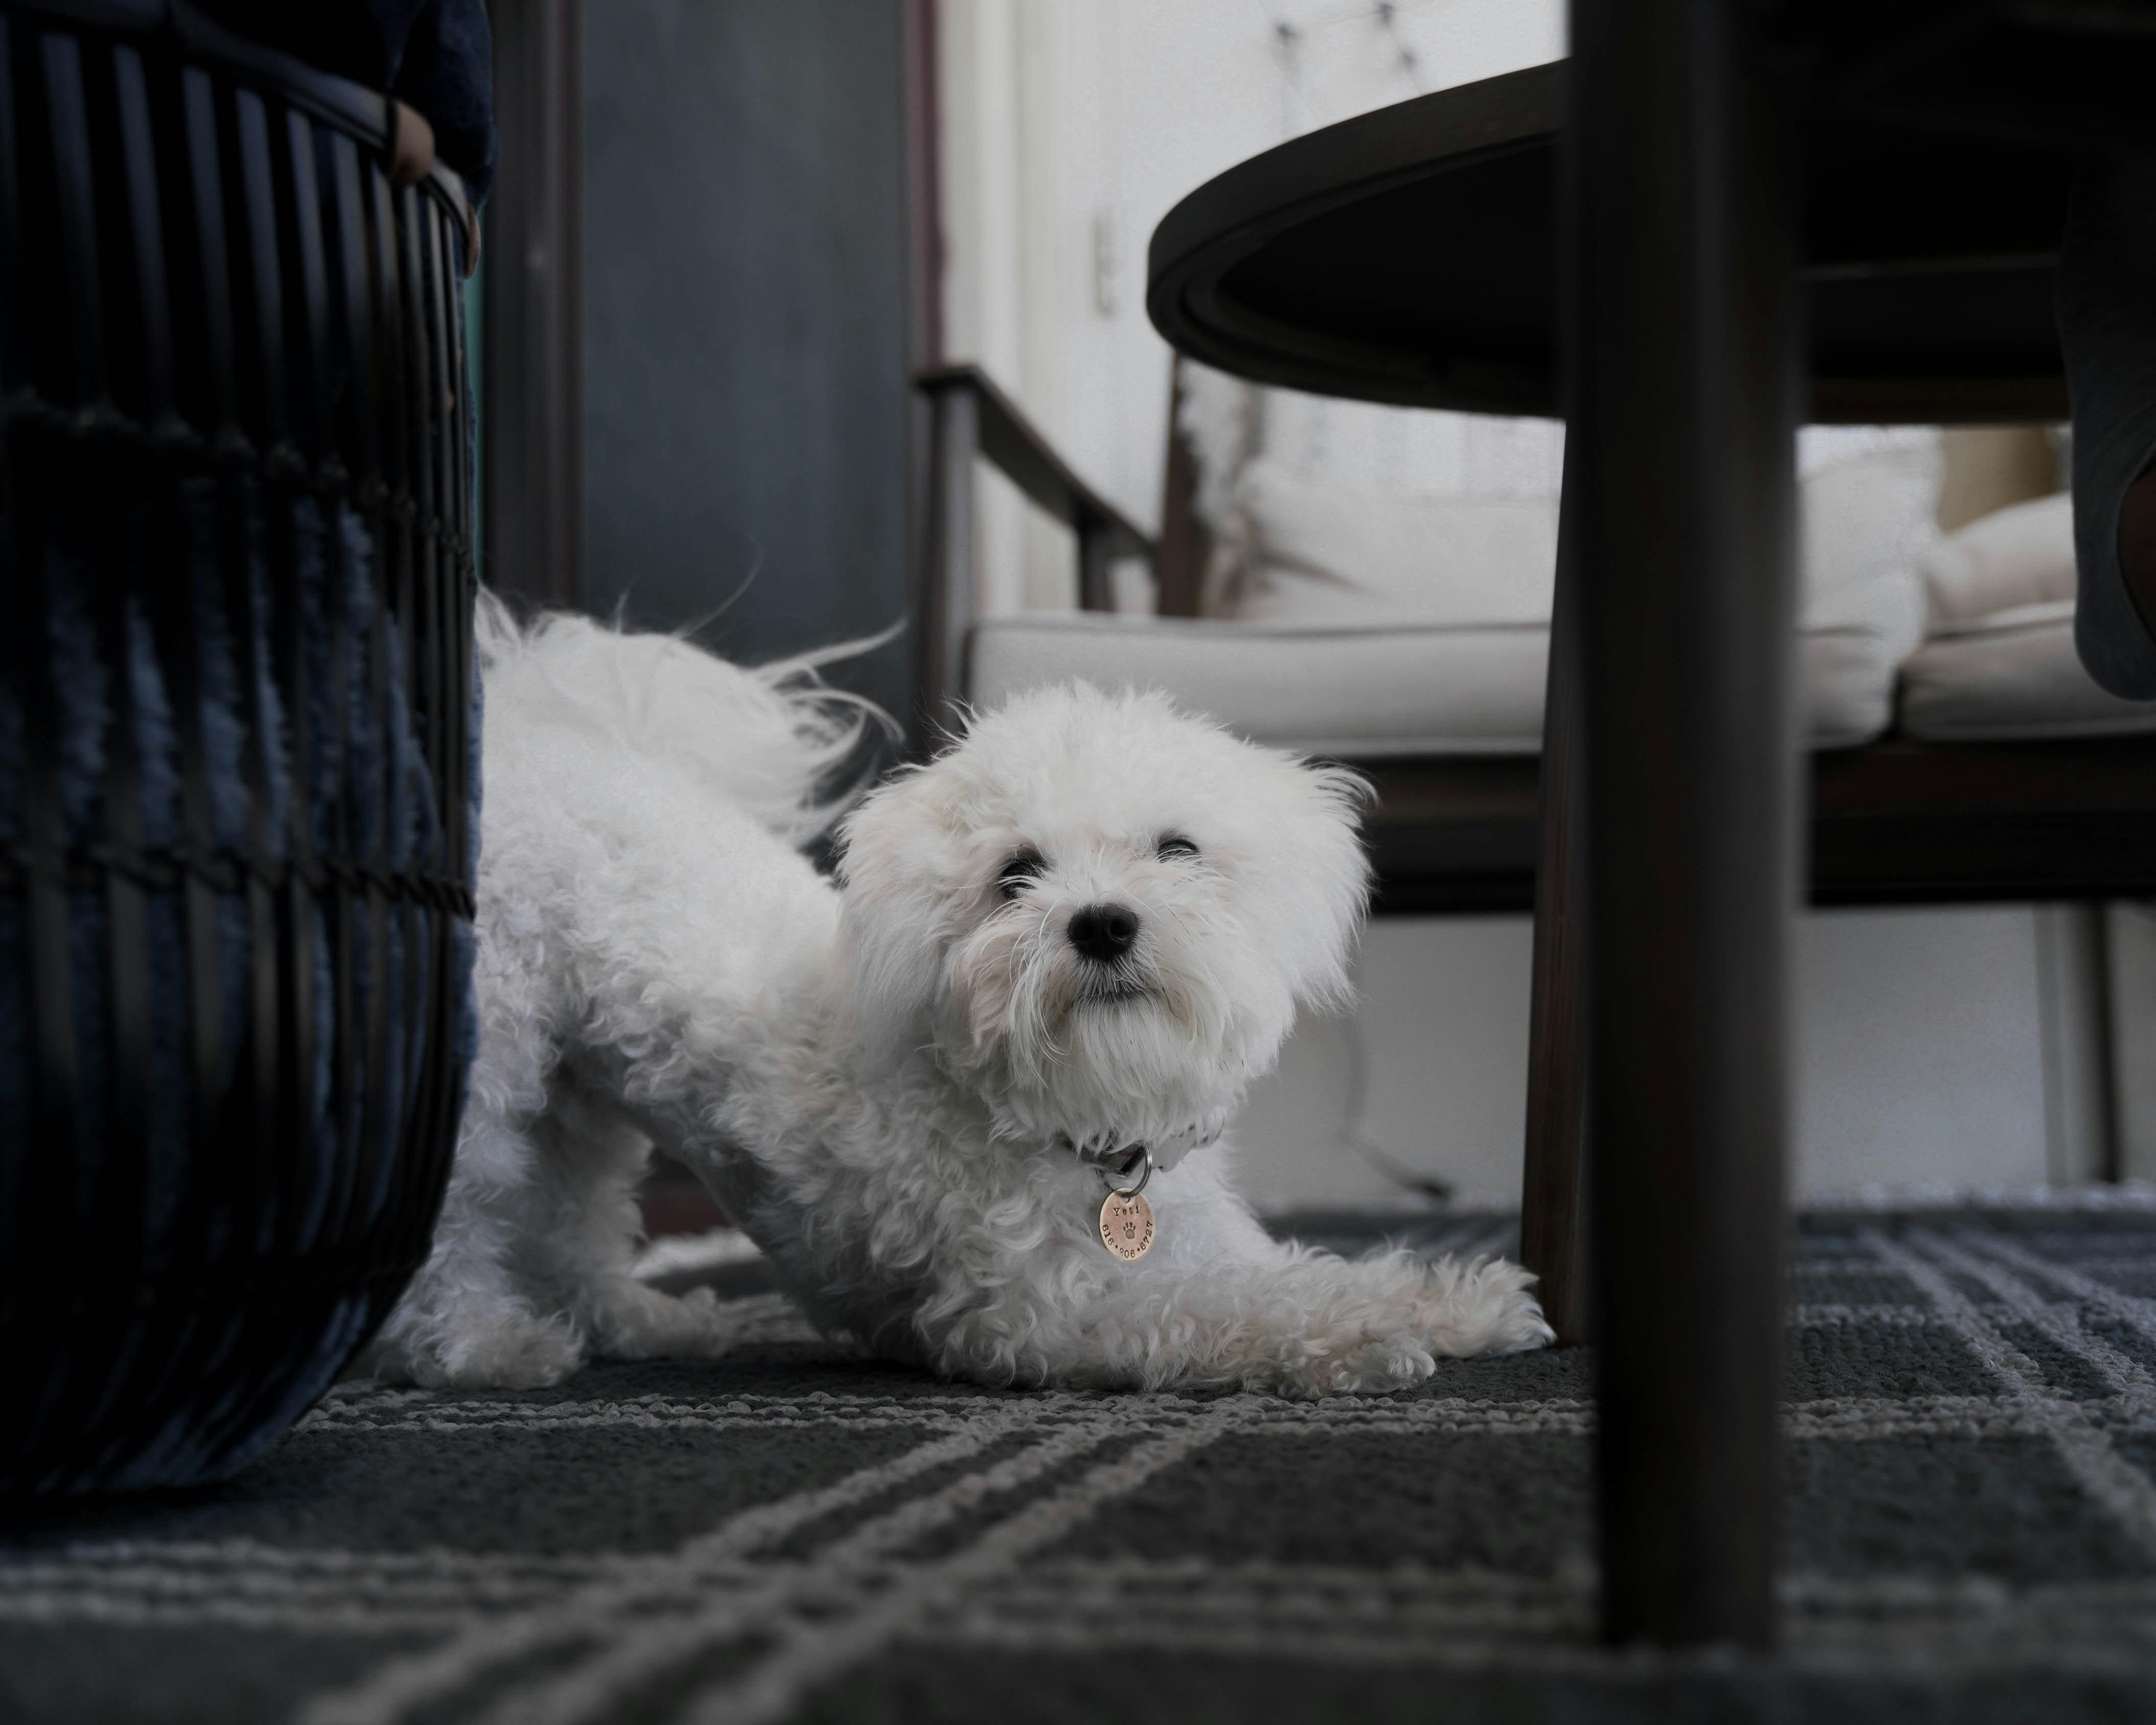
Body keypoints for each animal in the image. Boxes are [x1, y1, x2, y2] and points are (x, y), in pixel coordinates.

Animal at [370, 612, 1552, 1397]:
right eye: (1017, 872)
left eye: (1177, 848)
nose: (1103, 923)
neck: (1080, 1127)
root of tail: (522, 735)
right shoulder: (1037, 1314)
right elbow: (1230, 1312)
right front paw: (1366, 1331)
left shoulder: (1202, 1243)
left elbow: (1293, 1273)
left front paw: (1457, 1298)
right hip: (487, 1066)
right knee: (454, 1220)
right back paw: (484, 1350)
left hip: (582, 1092)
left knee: (571, 1220)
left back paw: (648, 1324)